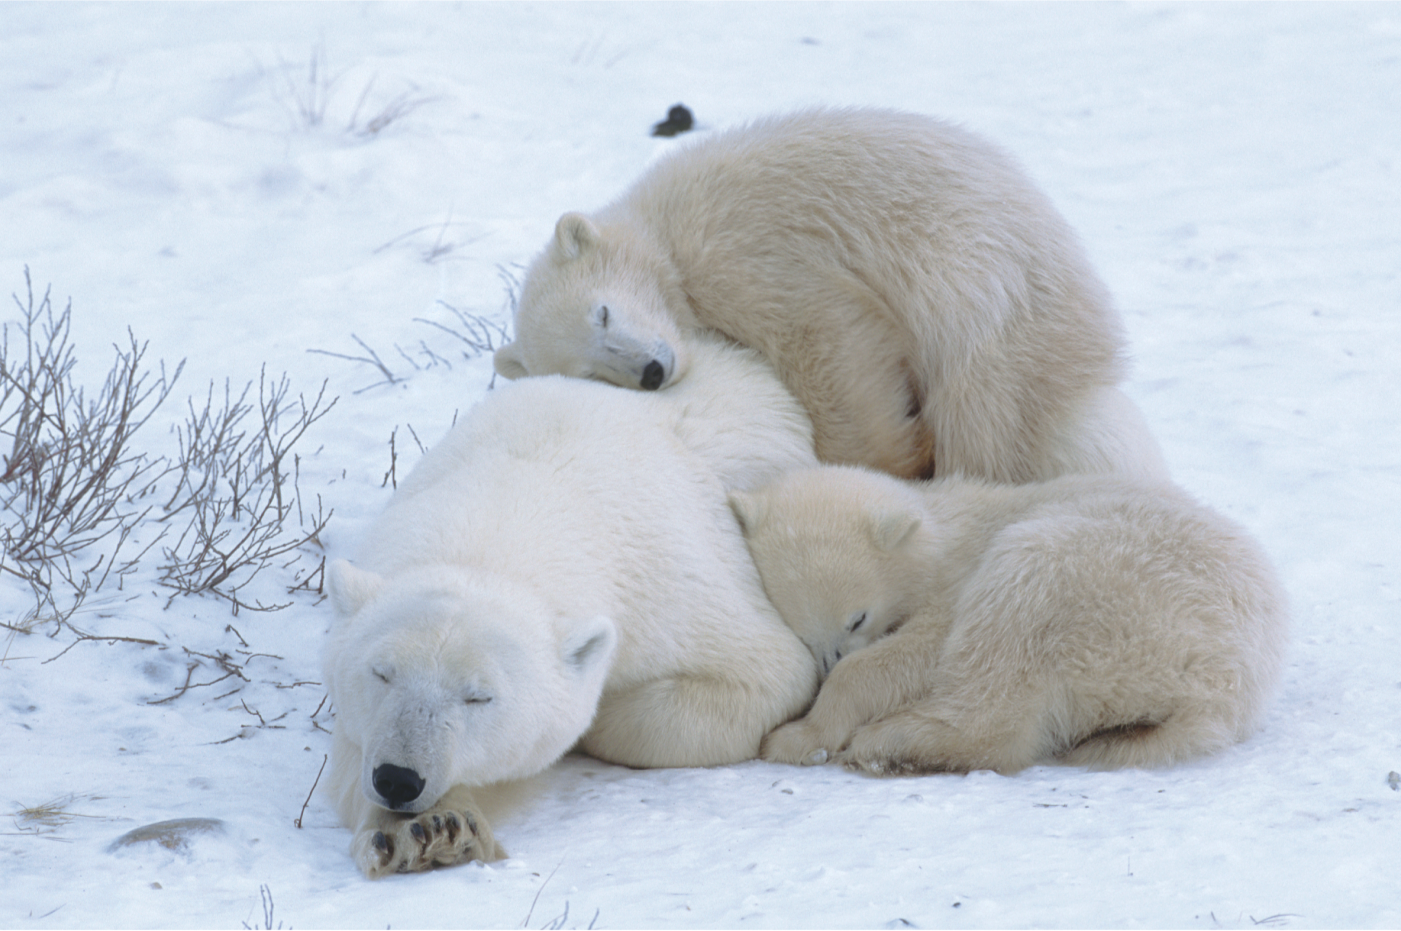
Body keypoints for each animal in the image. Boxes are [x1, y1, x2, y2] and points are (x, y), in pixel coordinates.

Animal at [323, 333, 819, 878]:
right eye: (381, 673)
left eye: (479, 697)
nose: (398, 778)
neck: (515, 502)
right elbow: (348, 756)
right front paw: (428, 829)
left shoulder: (675, 579)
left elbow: (769, 673)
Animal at [493, 106, 1167, 484]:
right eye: (587, 372)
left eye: (602, 312)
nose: (652, 371)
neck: (661, 233)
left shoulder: (740, 250)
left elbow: (829, 335)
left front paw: (894, 457)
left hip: (993, 305)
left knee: (986, 416)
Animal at [728, 465, 1289, 774]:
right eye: (801, 630)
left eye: (856, 618)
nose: (825, 665)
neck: (938, 536)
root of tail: (1219, 691)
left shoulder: (955, 578)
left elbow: (918, 650)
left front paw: (801, 735)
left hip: (1116, 590)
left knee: (1008, 636)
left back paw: (892, 743)